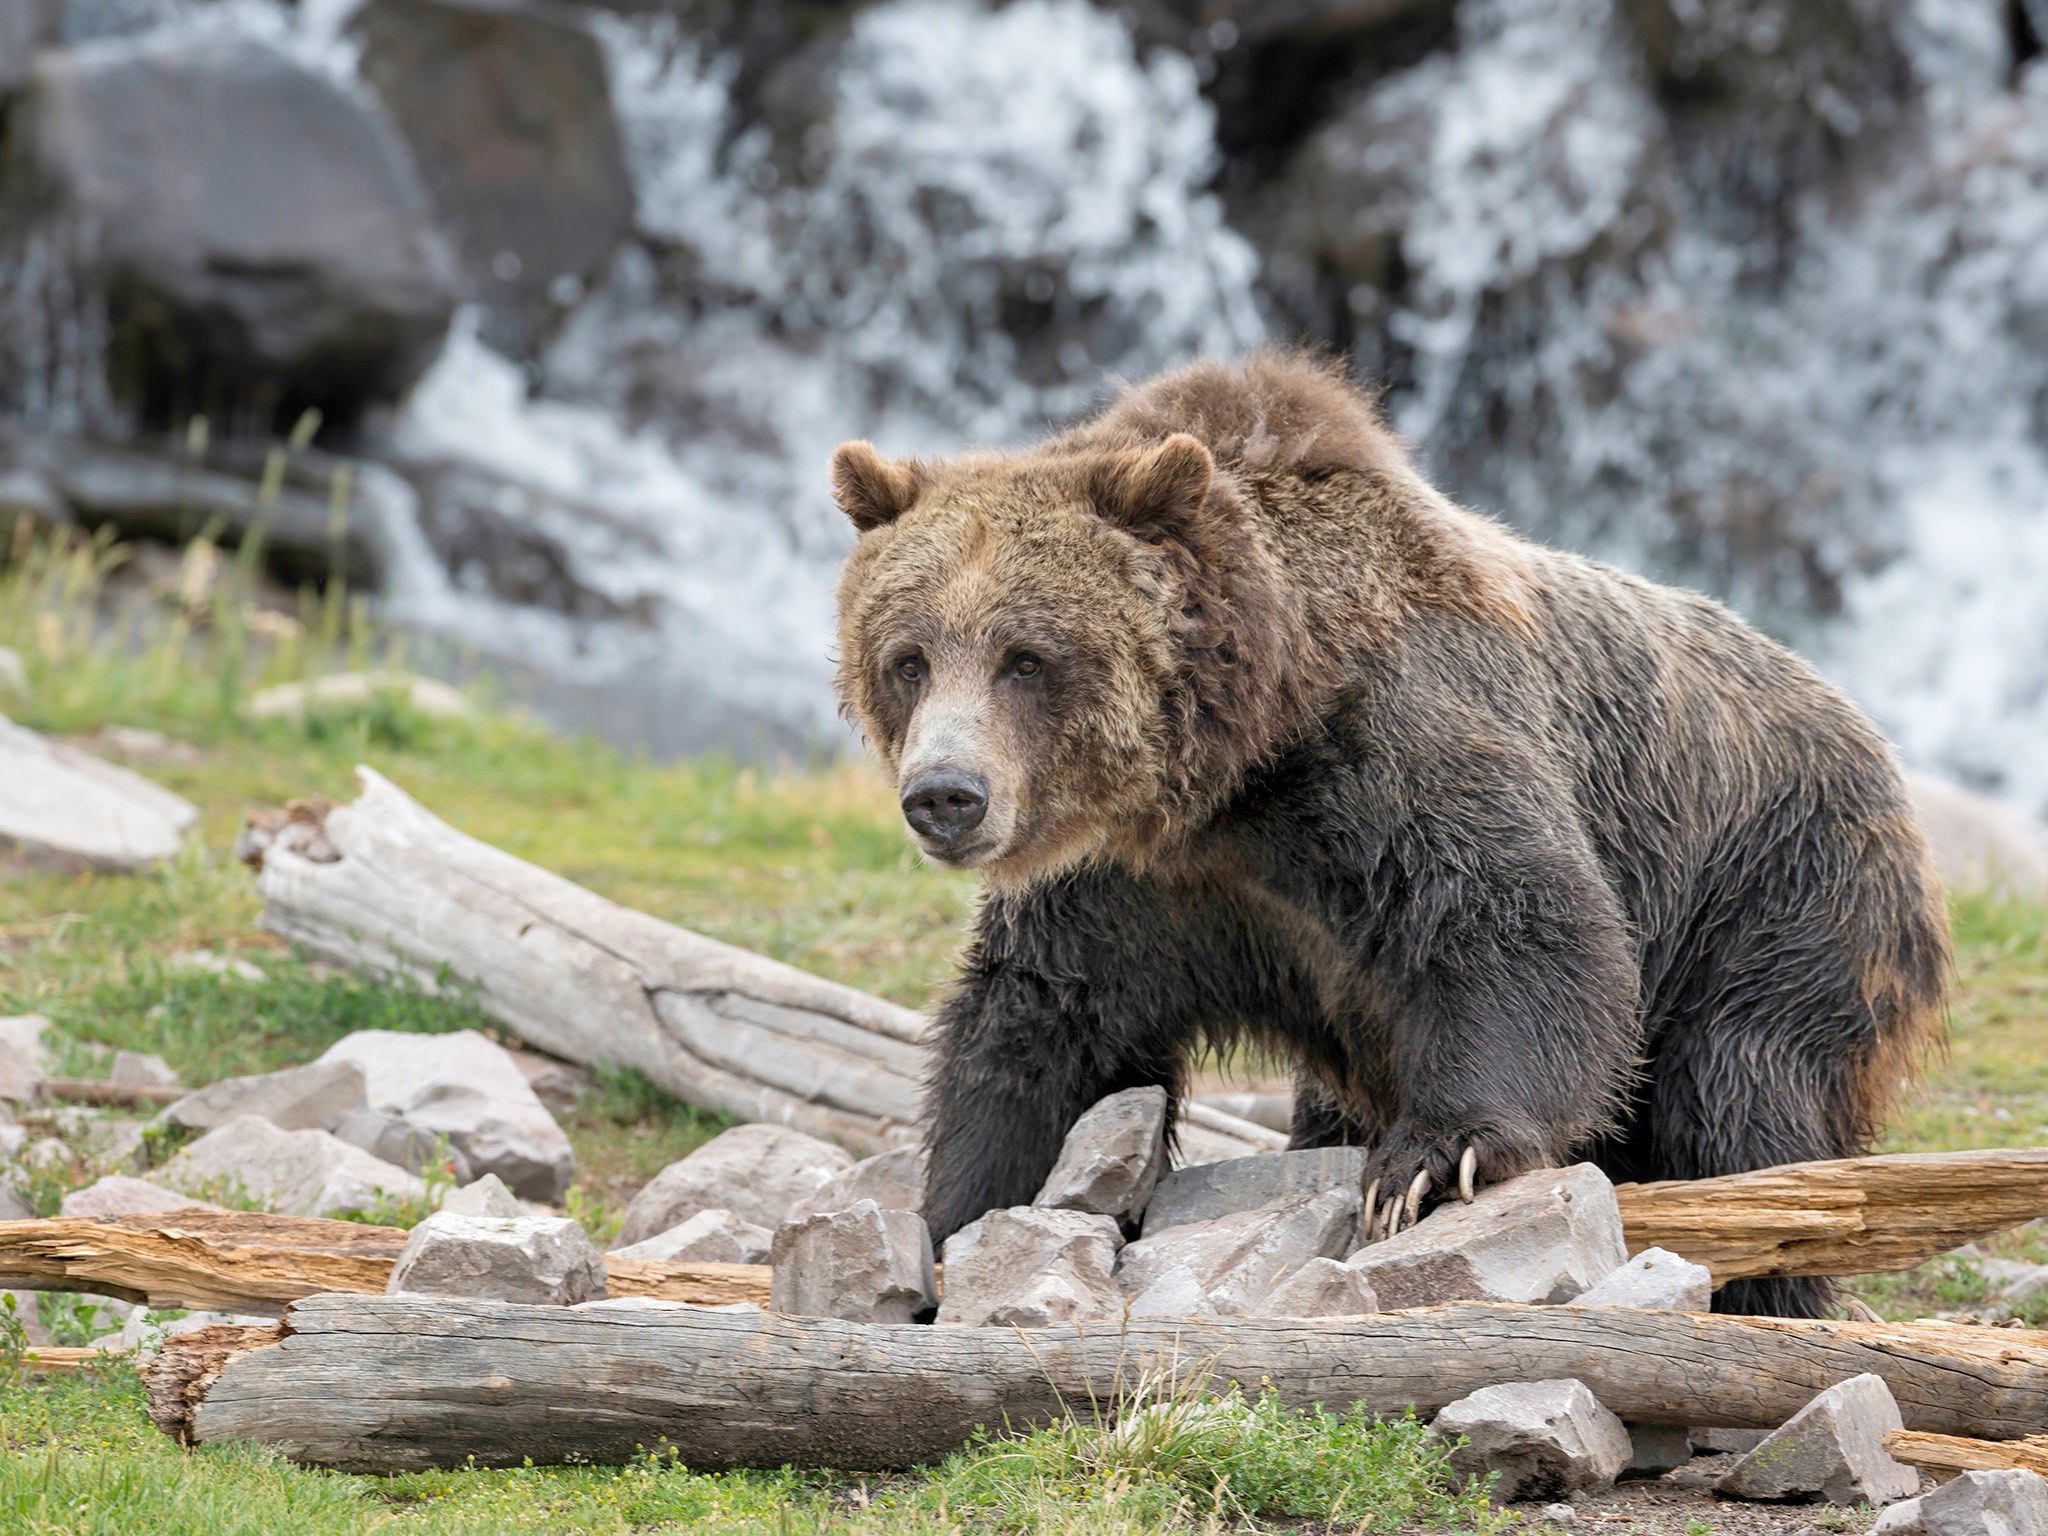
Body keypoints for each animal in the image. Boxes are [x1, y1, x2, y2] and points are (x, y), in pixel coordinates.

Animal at [823, 352, 1941, 1327]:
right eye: (908, 656)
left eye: (1026, 657)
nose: (945, 795)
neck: (1236, 769)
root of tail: (1867, 736)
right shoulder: (1136, 889)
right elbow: (1041, 1029)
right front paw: (951, 1224)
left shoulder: (1391, 758)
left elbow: (1521, 926)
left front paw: (1430, 1163)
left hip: (1778, 891)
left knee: (1744, 1099)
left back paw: (1767, 1283)